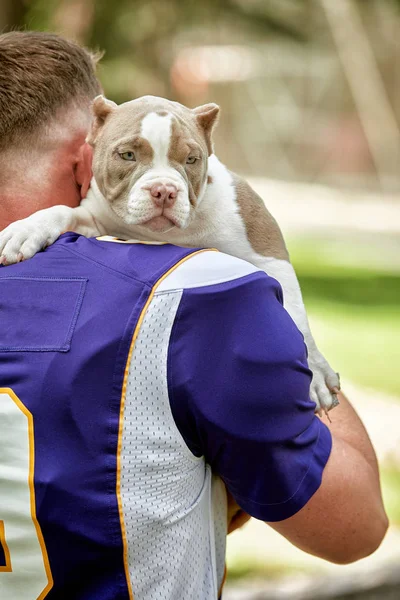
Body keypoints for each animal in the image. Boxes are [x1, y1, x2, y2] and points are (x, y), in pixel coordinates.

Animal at [0, 96, 340, 414]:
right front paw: (25, 230)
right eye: (127, 155)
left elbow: (295, 314)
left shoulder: (267, 251)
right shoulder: (93, 218)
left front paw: (316, 375)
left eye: (191, 159)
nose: (164, 190)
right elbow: (60, 210)